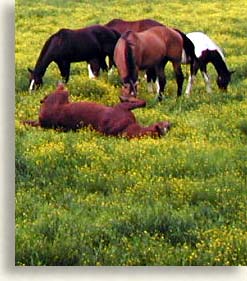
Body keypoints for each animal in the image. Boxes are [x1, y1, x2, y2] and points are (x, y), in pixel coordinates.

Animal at [22, 84, 171, 139]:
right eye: (163, 126)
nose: (169, 124)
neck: (127, 128)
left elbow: (141, 102)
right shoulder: (122, 107)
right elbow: (141, 102)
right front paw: (125, 95)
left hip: (61, 97)